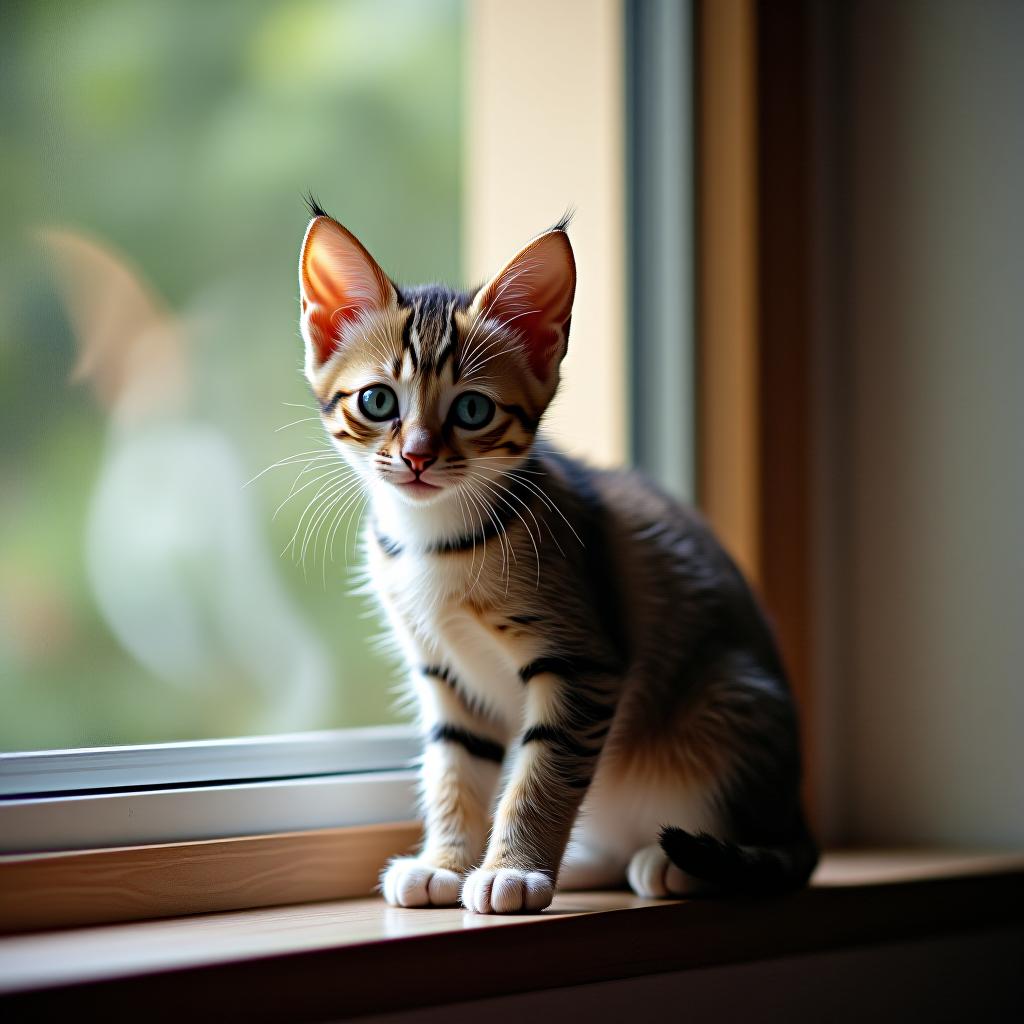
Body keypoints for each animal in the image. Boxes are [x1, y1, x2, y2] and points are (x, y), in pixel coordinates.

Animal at [294, 197, 815, 913]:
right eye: (377, 400)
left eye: (473, 409)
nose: (418, 456)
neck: (437, 542)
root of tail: (797, 818)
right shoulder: (445, 673)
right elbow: (455, 767)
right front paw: (446, 863)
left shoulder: (582, 662)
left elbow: (543, 772)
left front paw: (512, 871)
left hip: (730, 701)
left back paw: (679, 865)